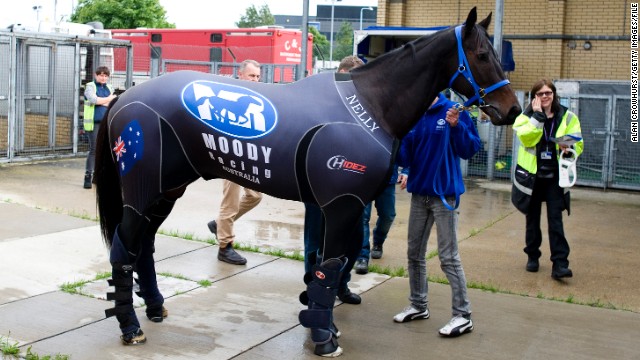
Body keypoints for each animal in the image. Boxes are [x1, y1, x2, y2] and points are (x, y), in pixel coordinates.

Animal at [95, 7, 524, 356]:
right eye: (481, 56)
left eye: (498, 56)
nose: (512, 109)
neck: (370, 106)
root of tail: (123, 97)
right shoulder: (343, 206)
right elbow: (330, 267)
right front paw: (323, 339)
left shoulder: (348, 208)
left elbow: (333, 268)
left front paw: (324, 324)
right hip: (141, 193)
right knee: (123, 249)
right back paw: (130, 327)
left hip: (166, 191)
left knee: (144, 247)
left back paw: (154, 306)